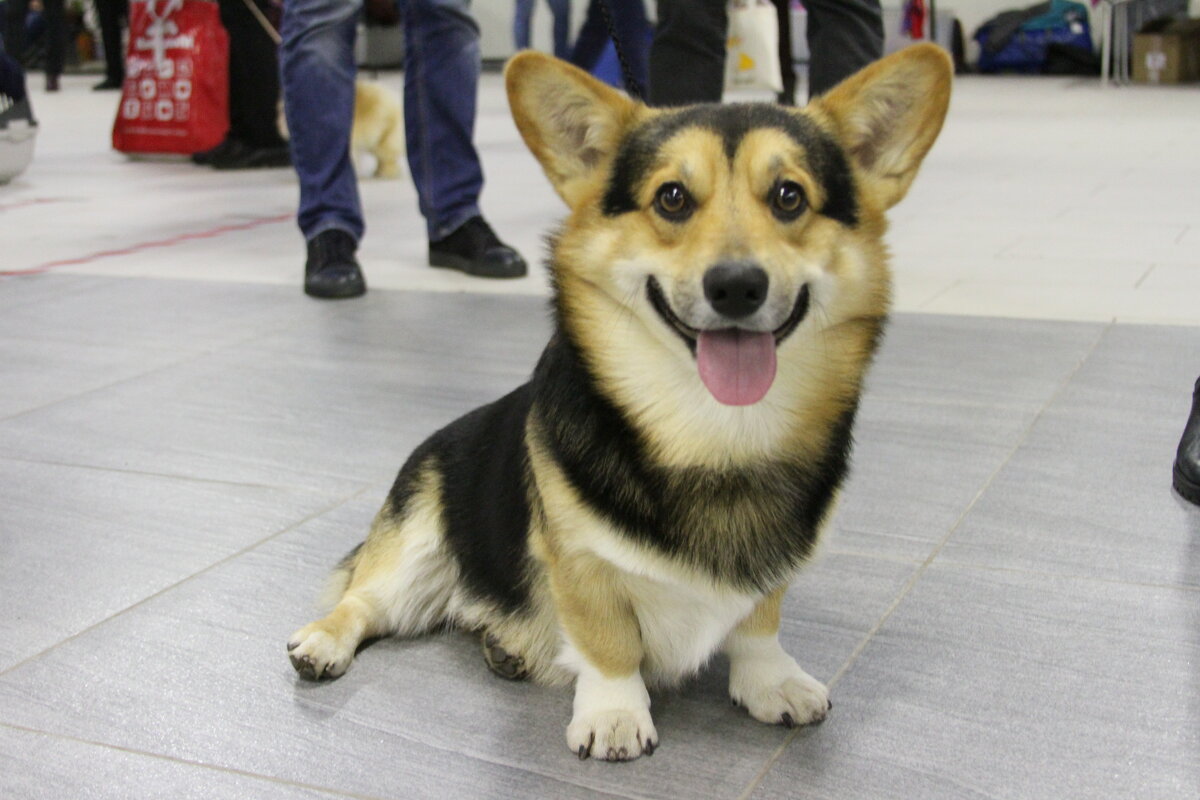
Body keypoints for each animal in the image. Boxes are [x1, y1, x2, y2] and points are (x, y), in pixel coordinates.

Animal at [285, 45, 950, 762]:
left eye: (789, 196)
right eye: (672, 197)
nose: (736, 286)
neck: (715, 429)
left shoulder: (771, 563)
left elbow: (759, 621)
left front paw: (771, 681)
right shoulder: (579, 562)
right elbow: (607, 642)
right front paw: (613, 714)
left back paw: (505, 646)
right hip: (414, 546)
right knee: (364, 601)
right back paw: (322, 641)